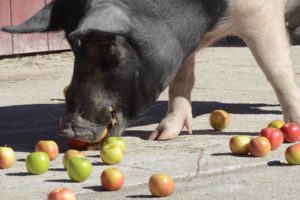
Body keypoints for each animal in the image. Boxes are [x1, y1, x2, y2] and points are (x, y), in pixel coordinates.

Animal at [1, 0, 300, 141]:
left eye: (108, 46)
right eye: (72, 48)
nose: (70, 132)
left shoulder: (259, 12)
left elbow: (275, 69)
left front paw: (294, 126)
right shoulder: (180, 45)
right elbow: (181, 80)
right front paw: (159, 137)